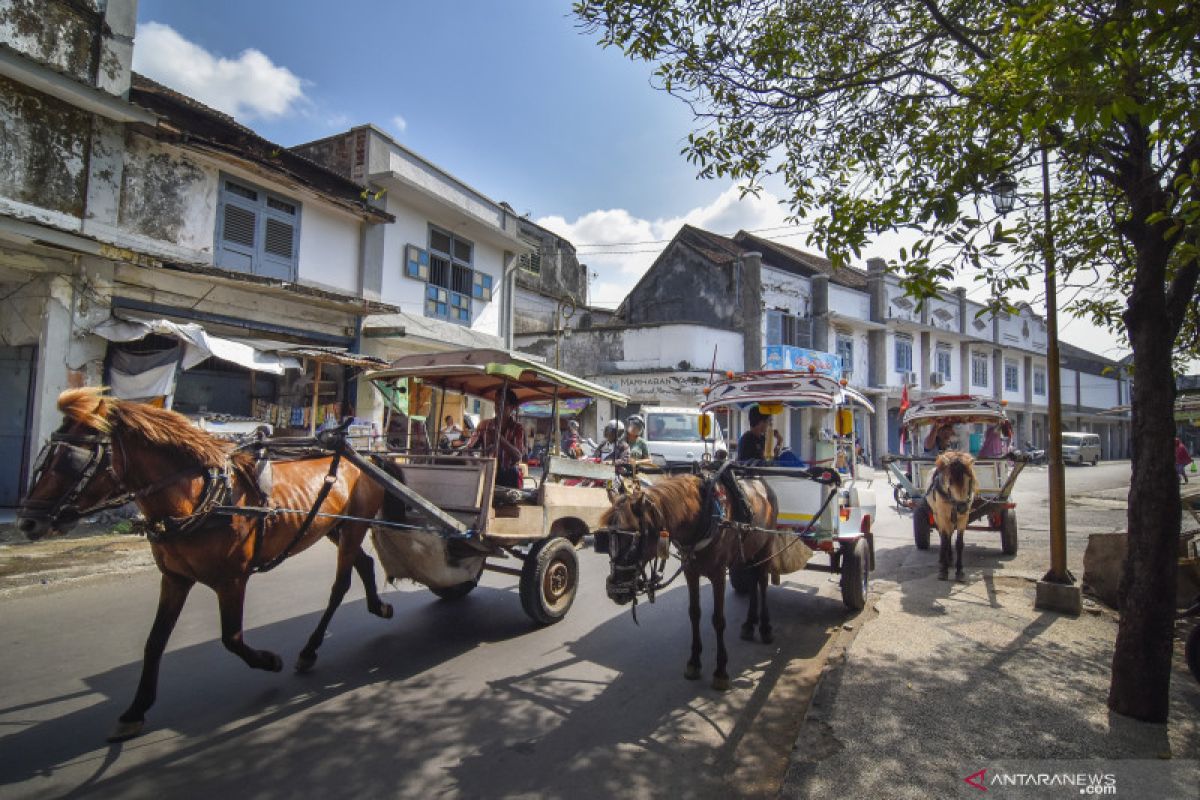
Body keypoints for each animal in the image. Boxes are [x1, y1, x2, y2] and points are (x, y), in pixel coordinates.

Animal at [16, 388, 388, 743]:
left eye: (71, 460)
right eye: (45, 455)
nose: (27, 522)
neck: (201, 497)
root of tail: (366, 456)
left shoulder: (232, 580)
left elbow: (231, 638)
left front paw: (270, 661)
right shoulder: (175, 578)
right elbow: (155, 641)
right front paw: (135, 710)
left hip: (352, 528)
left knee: (340, 586)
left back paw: (311, 649)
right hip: (335, 528)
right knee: (365, 563)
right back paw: (378, 607)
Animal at [926, 450, 974, 582]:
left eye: (969, 479)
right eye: (950, 480)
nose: (962, 507)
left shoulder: (963, 518)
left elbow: (959, 543)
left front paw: (959, 571)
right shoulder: (943, 517)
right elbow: (945, 541)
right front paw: (943, 570)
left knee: (950, 534)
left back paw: (950, 558)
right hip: (937, 515)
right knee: (943, 536)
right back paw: (943, 558)